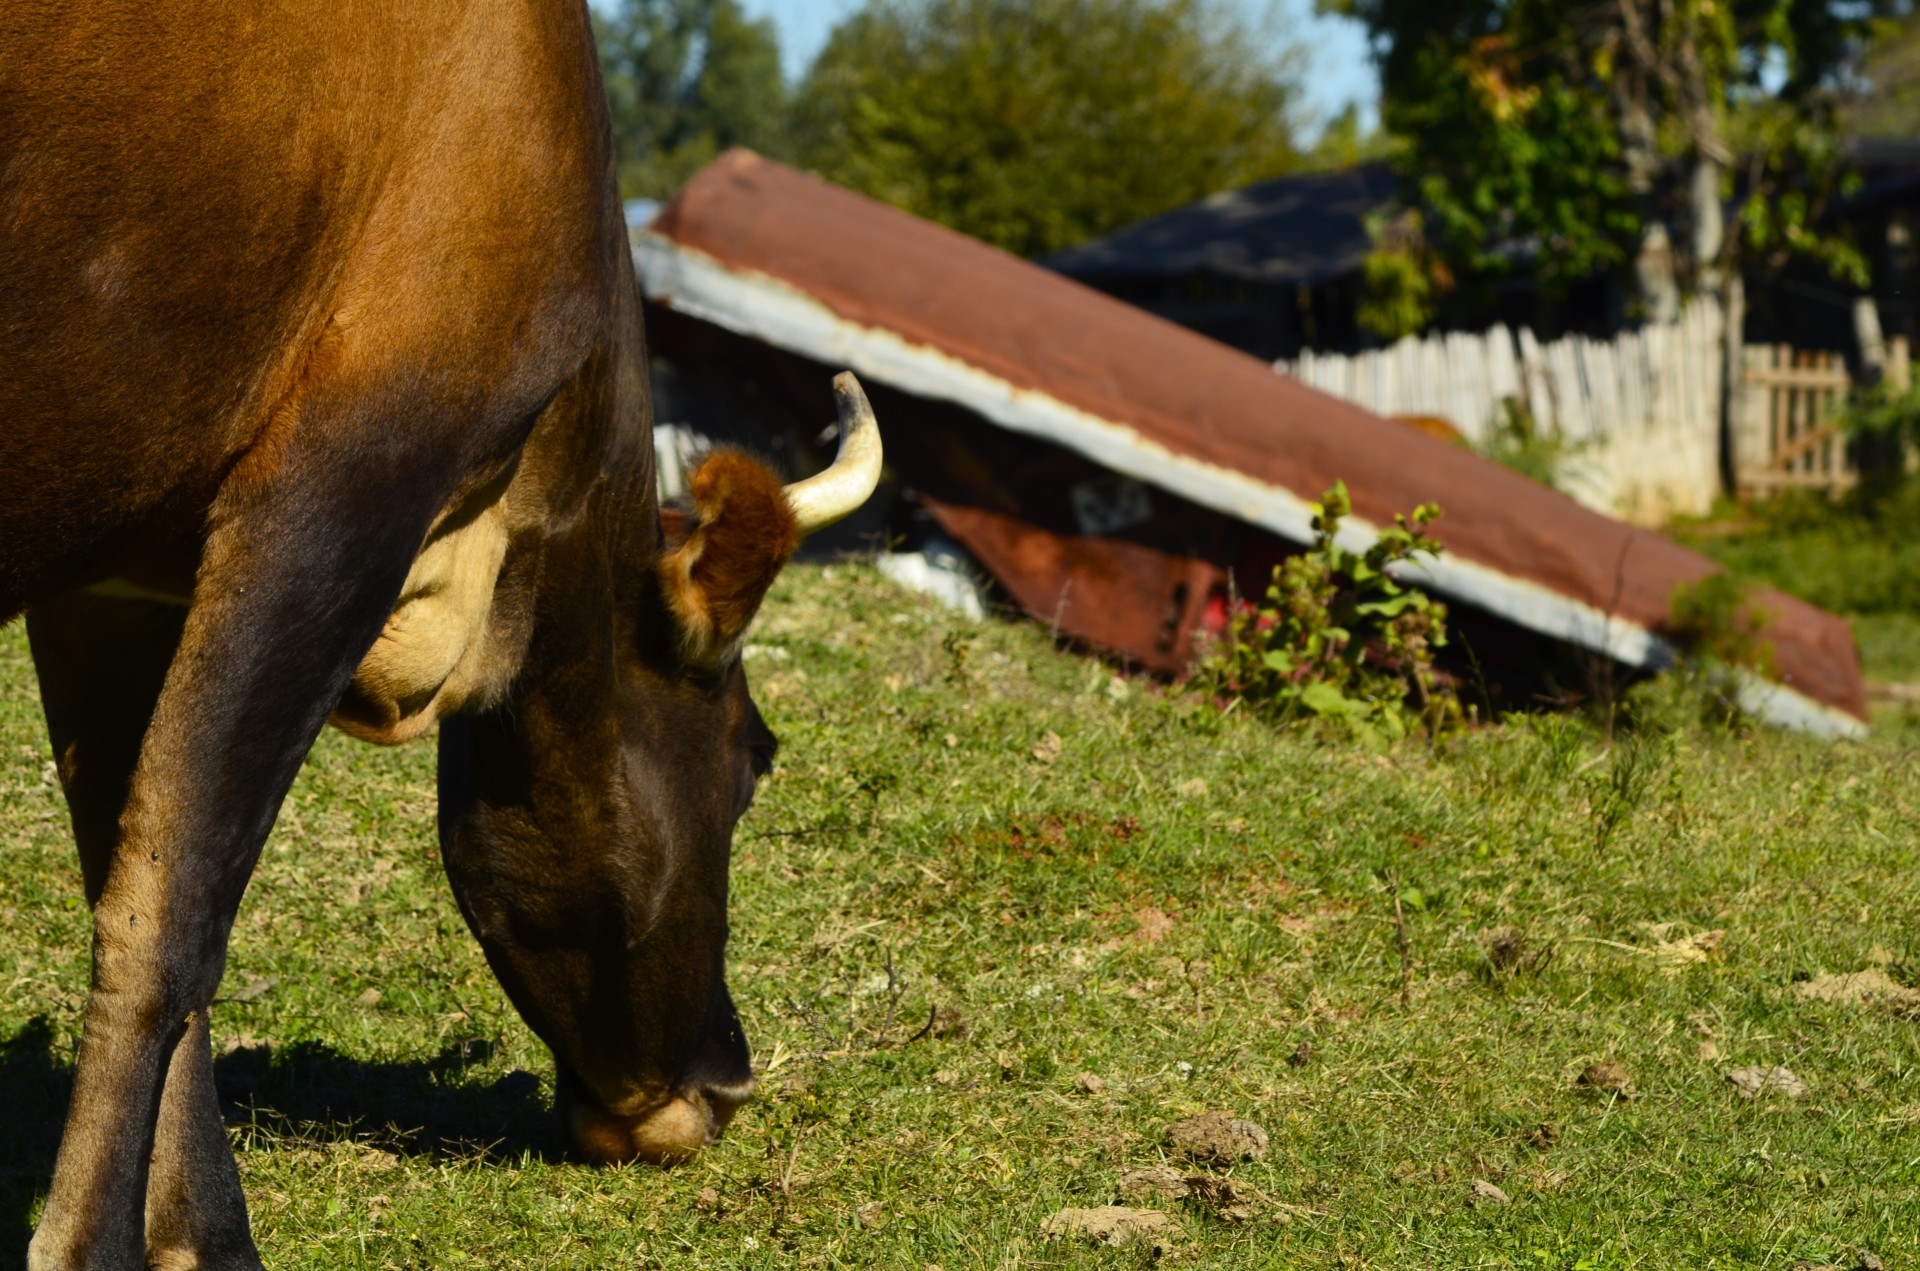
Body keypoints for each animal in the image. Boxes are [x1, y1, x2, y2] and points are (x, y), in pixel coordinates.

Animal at [0, 4, 879, 1267]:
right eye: (757, 757)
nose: (728, 1078)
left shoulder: (116, 580)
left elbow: (133, 864)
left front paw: (203, 1229)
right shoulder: (346, 478)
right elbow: (176, 910)